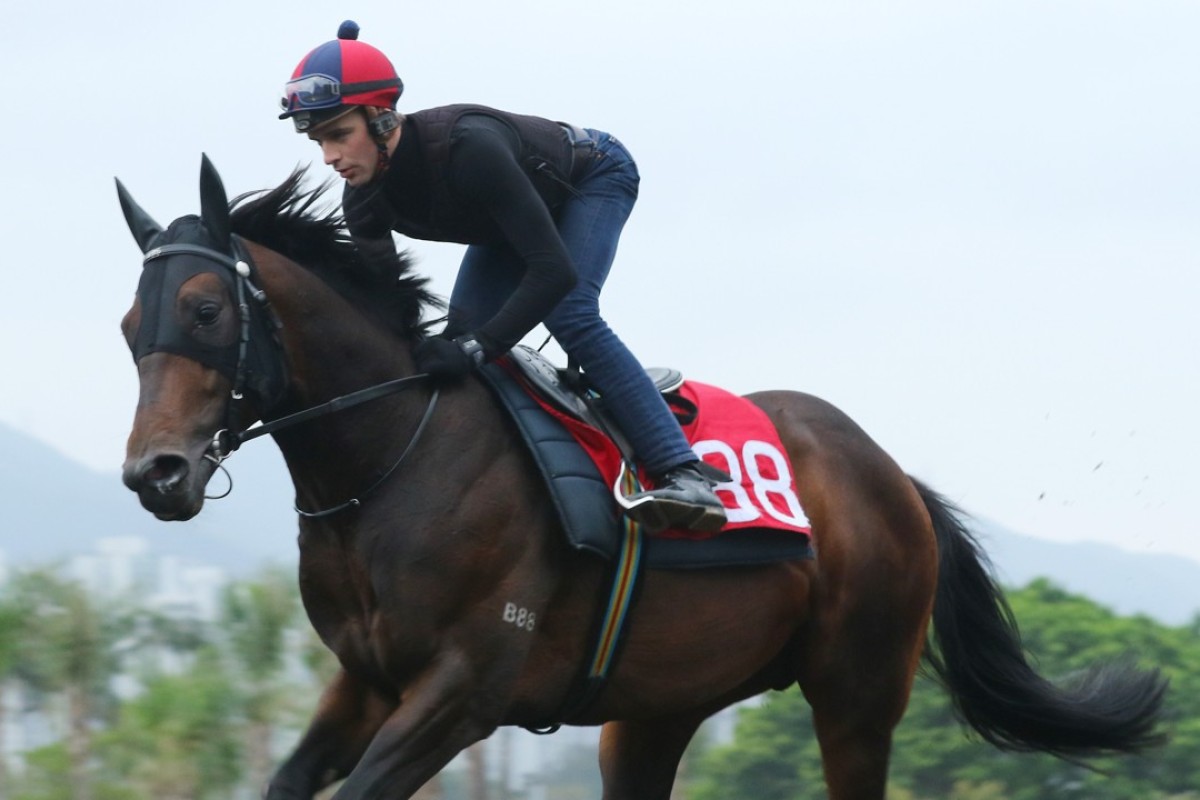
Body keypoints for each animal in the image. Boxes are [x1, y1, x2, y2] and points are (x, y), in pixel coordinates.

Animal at [114, 158, 1161, 800]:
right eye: (130, 325)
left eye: (205, 310)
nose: (155, 473)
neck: (390, 458)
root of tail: (893, 477)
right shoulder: (368, 679)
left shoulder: (465, 688)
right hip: (659, 705)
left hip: (857, 690)